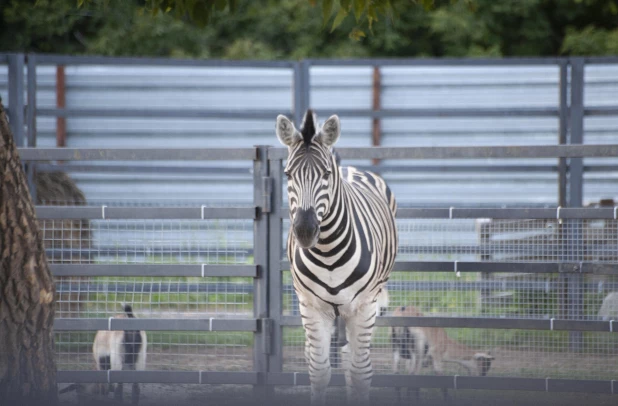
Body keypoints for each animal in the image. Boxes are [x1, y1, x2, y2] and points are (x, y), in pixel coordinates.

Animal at [274, 109, 394, 404]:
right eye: (287, 173)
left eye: (326, 173)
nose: (305, 231)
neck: (328, 253)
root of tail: (348, 168)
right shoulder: (311, 307)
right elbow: (319, 370)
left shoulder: (364, 306)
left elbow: (360, 372)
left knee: (355, 360)